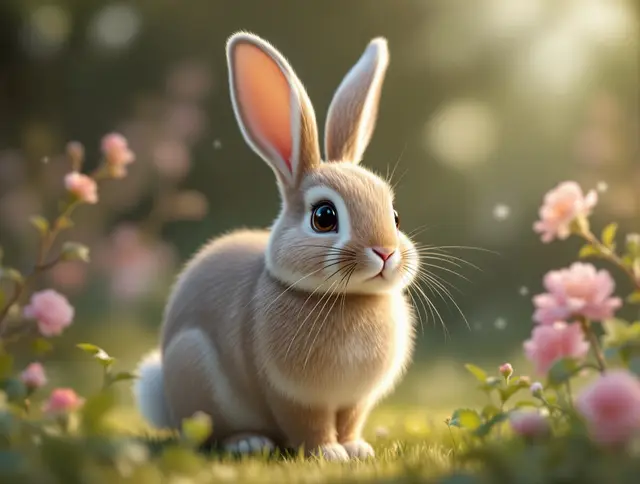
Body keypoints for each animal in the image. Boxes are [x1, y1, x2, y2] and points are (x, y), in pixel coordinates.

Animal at [133, 31, 420, 461]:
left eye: (396, 216)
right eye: (324, 217)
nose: (385, 252)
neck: (348, 298)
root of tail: (166, 397)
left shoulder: (355, 400)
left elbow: (350, 422)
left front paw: (357, 449)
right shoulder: (291, 396)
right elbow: (309, 426)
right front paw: (328, 453)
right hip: (196, 369)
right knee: (208, 432)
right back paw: (248, 442)